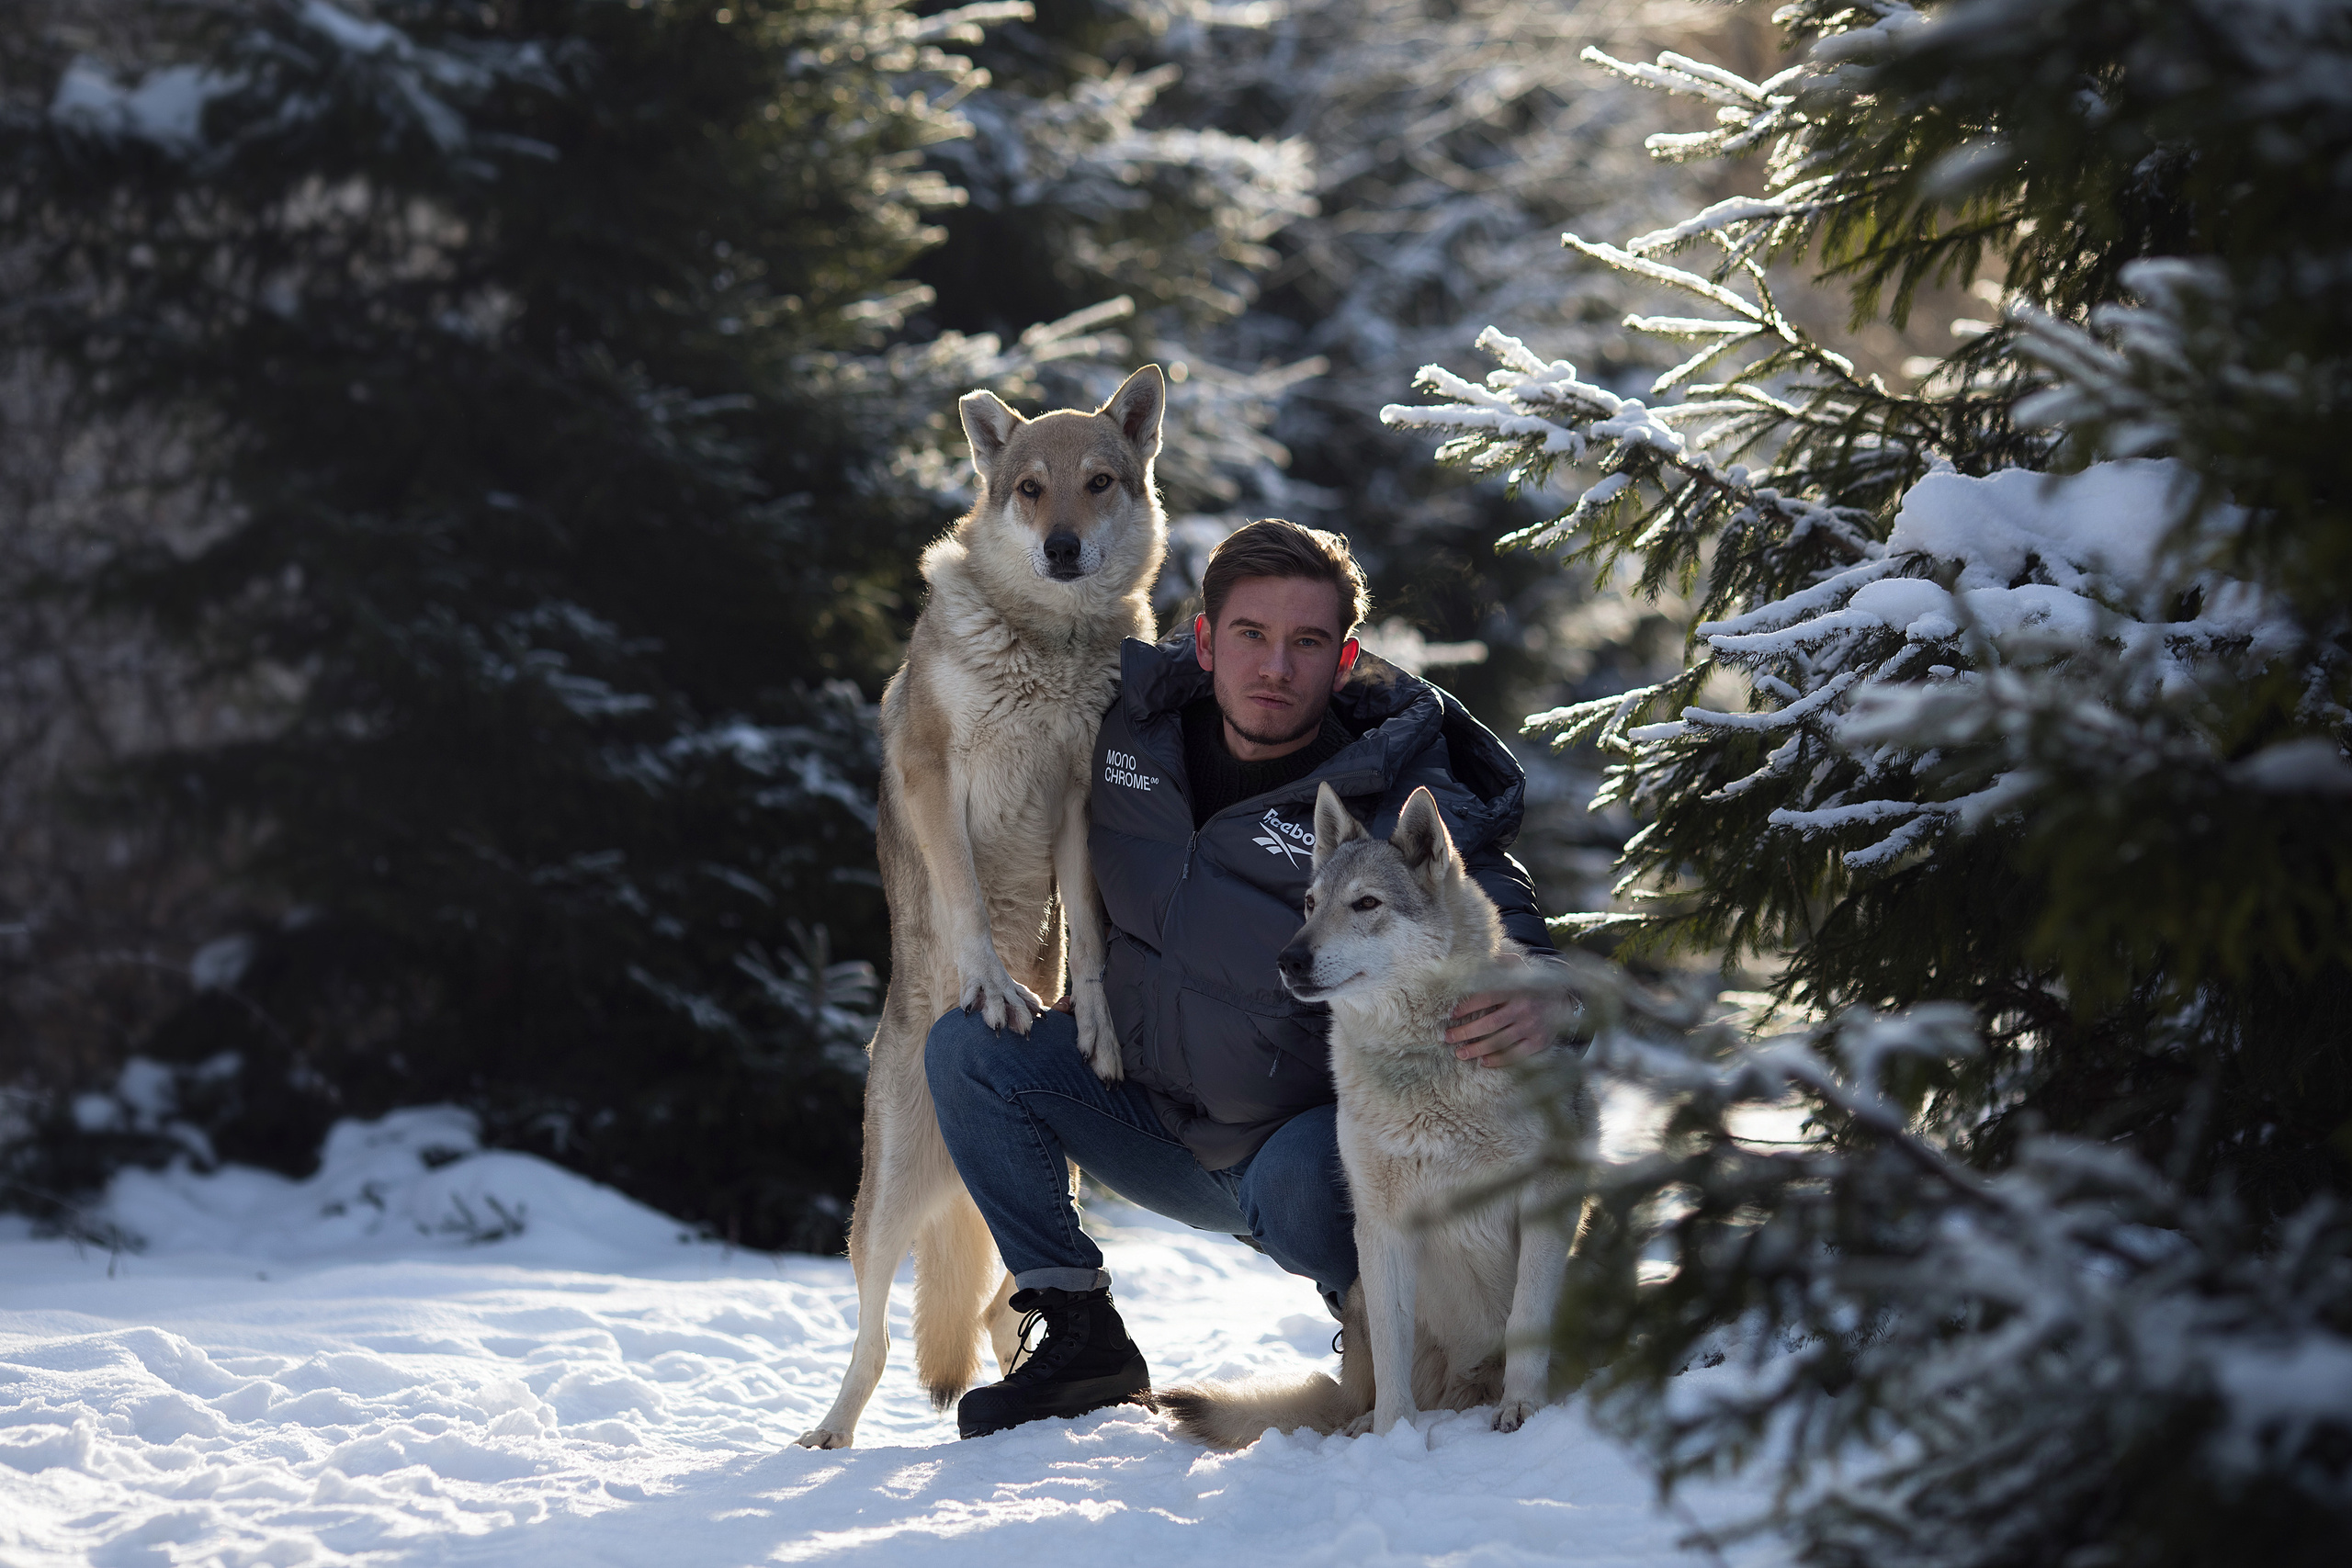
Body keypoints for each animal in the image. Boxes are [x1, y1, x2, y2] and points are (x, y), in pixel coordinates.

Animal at [795, 367, 1168, 1450]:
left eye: (1098, 482)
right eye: (1030, 490)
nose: (1062, 548)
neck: (1047, 643)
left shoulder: (1082, 800)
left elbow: (1089, 936)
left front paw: (1089, 1022)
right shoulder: (934, 774)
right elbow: (962, 896)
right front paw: (996, 993)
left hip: (1038, 1199)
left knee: (1009, 1312)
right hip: (877, 1216)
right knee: (876, 1340)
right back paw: (828, 1435)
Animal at [1159, 781, 1588, 1447]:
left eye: (1365, 903)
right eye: (1310, 903)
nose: (1288, 959)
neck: (1423, 1063)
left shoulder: (1547, 1196)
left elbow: (1526, 1320)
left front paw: (1521, 1409)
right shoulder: (1383, 1225)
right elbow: (1392, 1350)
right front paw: (1394, 1437)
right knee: (1365, 1384)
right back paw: (1365, 1423)